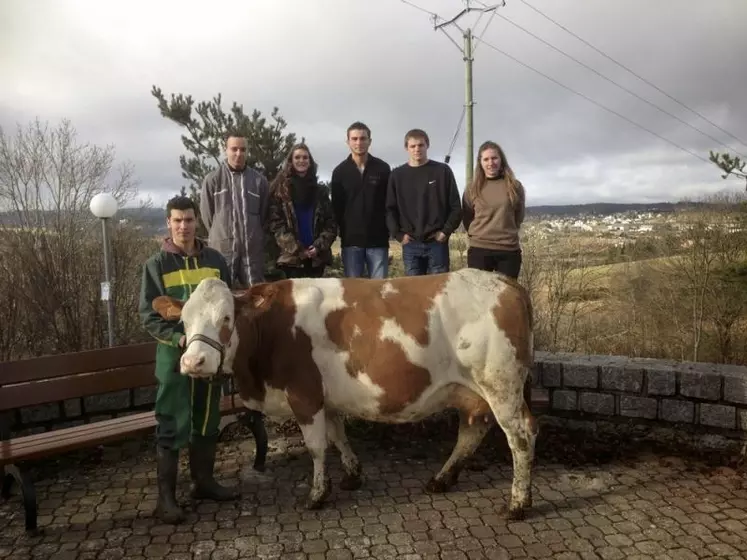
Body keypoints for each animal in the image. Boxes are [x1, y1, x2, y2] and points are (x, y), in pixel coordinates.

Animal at [152, 266, 536, 520]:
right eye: (184, 320)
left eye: (227, 318)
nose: (193, 361)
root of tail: (505, 282)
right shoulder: (326, 397)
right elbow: (338, 436)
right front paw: (352, 475)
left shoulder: (304, 396)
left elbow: (317, 447)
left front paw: (317, 494)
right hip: (473, 391)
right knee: (472, 430)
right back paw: (442, 478)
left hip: (502, 385)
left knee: (521, 437)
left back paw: (518, 502)